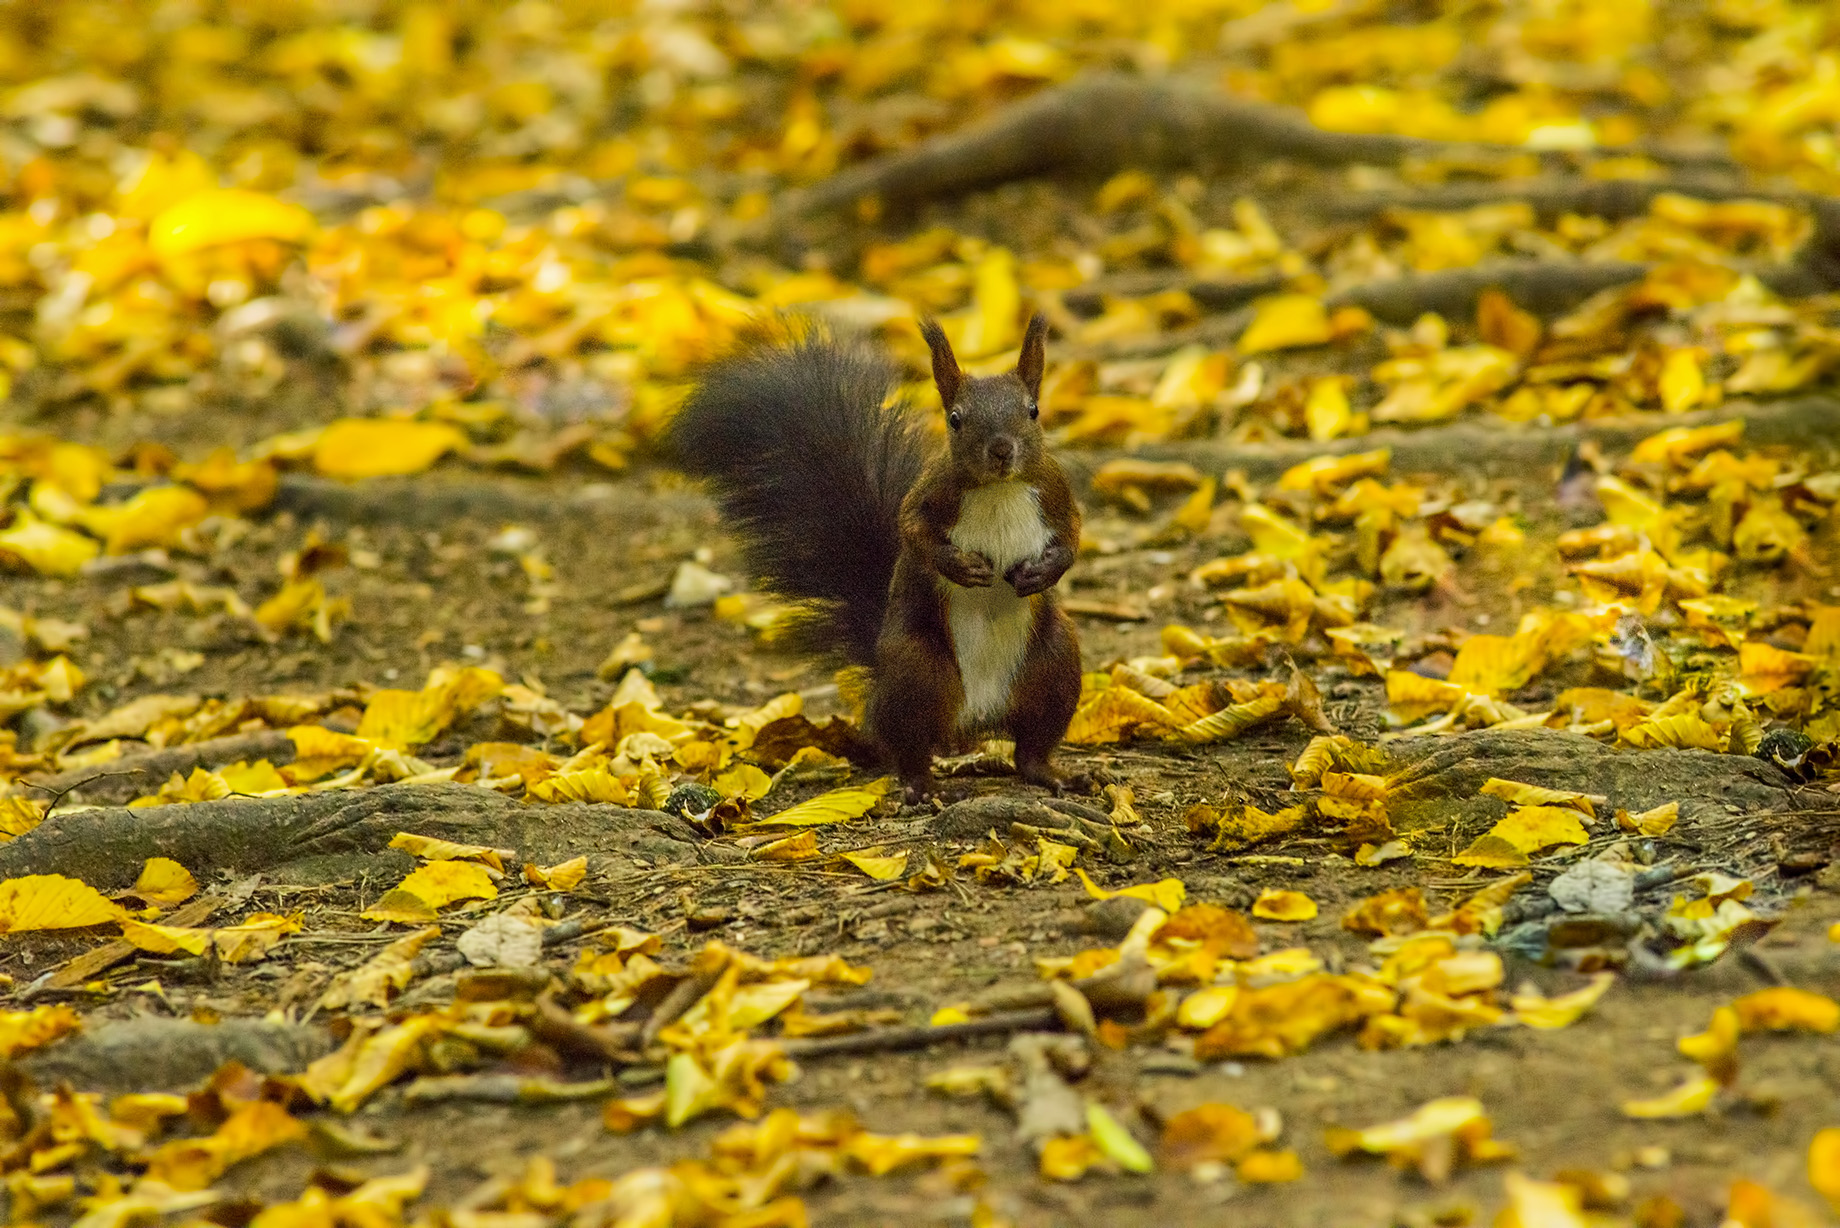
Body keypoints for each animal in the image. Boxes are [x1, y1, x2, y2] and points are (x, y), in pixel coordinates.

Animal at [673, 312, 1081, 802]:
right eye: (955, 419)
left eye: (1033, 410)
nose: (1002, 450)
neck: (999, 488)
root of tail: (974, 720)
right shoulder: (928, 495)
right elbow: (913, 533)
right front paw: (960, 566)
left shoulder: (1056, 492)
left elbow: (1073, 538)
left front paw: (1042, 572)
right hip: (917, 671)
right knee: (910, 746)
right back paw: (923, 785)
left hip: (1054, 664)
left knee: (1031, 745)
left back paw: (1054, 774)